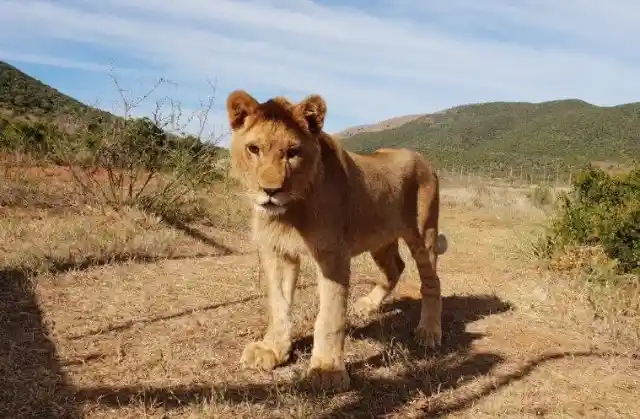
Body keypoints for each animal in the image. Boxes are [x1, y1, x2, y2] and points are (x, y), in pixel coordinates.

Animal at [228, 89, 448, 394]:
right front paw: (272, 349)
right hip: (379, 238)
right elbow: (278, 304)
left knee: (432, 281)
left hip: (422, 233)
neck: (290, 211)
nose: (271, 191)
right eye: (253, 149)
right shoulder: (277, 251)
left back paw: (428, 331)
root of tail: (425, 160)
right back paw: (368, 304)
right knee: (396, 267)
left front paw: (327, 371)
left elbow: (330, 316)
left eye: (293, 152)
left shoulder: (333, 256)